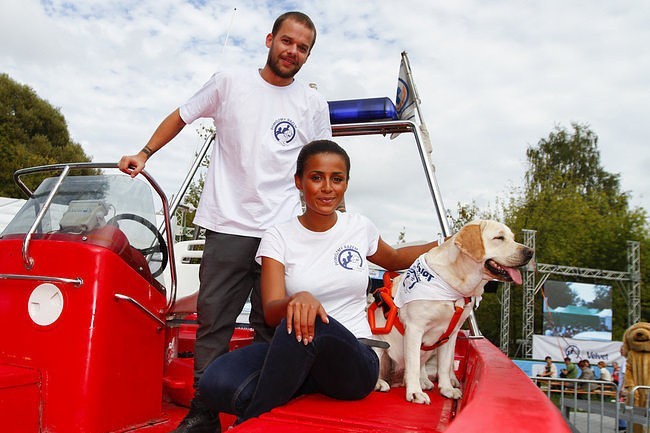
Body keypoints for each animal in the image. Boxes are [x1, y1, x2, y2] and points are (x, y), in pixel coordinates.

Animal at [370, 221, 532, 404]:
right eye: (499, 237)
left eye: (513, 237)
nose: (530, 252)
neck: (455, 284)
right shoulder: (414, 328)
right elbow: (413, 365)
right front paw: (415, 392)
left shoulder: (451, 333)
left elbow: (445, 365)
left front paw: (446, 389)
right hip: (379, 346)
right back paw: (381, 383)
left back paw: (423, 381)